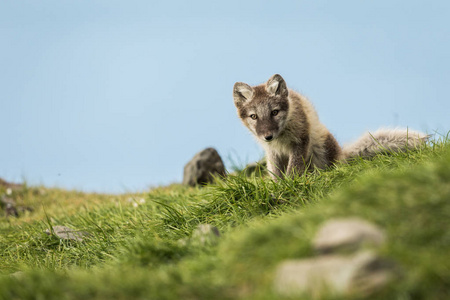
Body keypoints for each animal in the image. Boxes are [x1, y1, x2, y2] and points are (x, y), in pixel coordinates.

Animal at [234, 74, 428, 179]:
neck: (280, 139)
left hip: (321, 147)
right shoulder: (272, 152)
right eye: (254, 116)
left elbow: (293, 169)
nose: (268, 136)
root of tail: (342, 155)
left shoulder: (301, 140)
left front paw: (289, 185)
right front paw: (279, 186)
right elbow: (276, 174)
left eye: (274, 112)